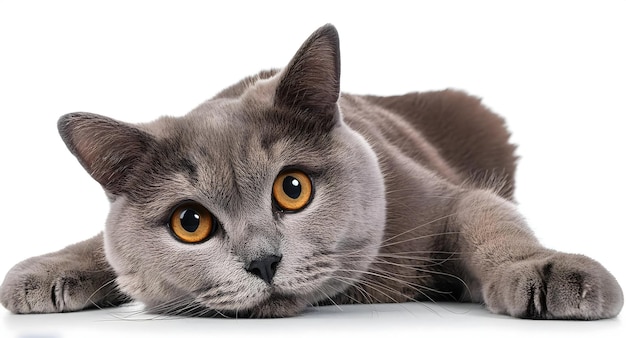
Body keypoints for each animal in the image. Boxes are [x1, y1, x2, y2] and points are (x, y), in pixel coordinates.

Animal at [0, 24, 620, 320]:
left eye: (292, 188)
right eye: (189, 223)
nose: (263, 261)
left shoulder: (442, 198)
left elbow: (489, 219)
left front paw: (547, 272)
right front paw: (40, 273)